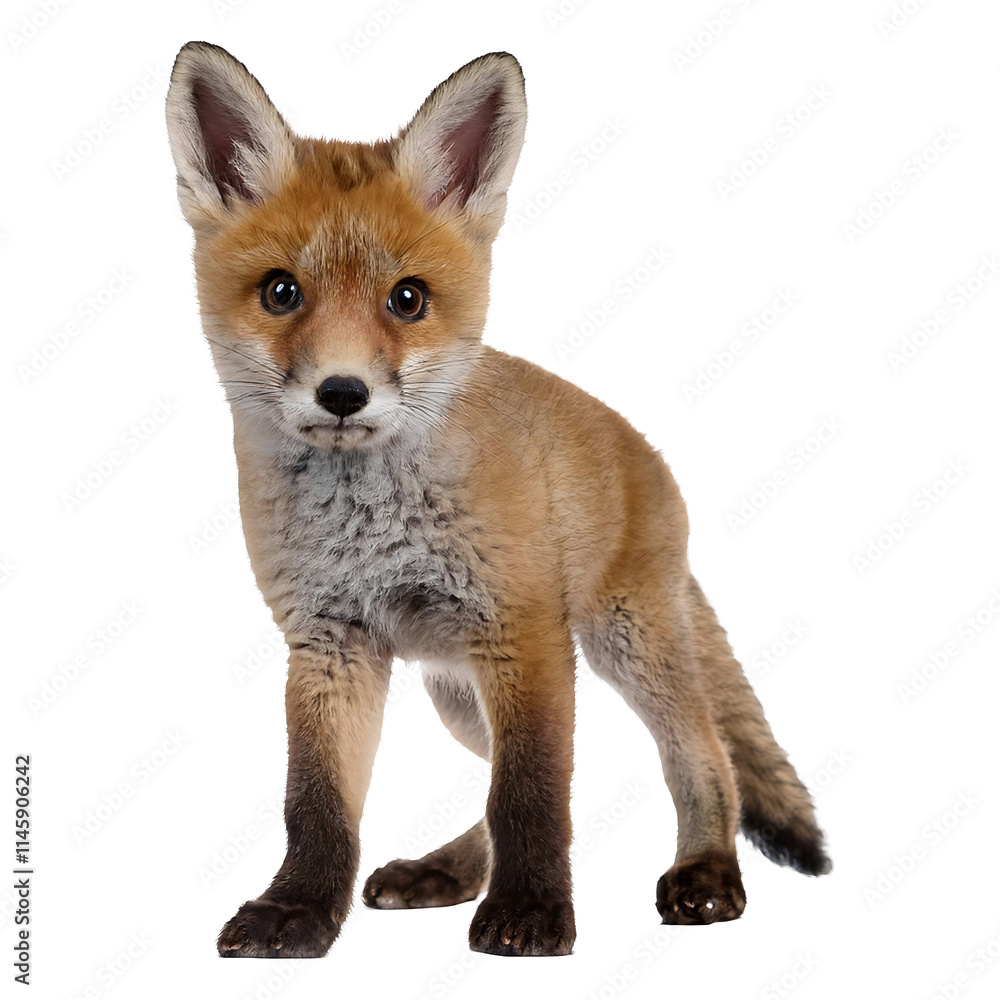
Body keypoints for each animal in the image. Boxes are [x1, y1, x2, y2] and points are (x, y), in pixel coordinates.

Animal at [165, 41, 831, 959]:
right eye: (280, 293)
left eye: (407, 299)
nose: (343, 393)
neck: (374, 526)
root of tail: (641, 445)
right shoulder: (329, 642)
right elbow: (318, 806)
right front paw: (298, 910)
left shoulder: (524, 632)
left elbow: (533, 798)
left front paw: (532, 912)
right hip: (459, 689)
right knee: (500, 778)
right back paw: (447, 872)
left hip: (620, 640)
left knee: (702, 754)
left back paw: (706, 873)